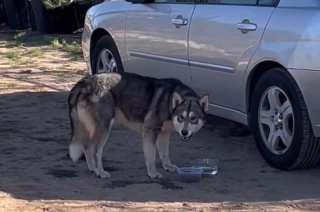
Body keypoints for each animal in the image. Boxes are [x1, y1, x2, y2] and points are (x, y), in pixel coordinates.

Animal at [68, 71, 209, 179]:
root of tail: (86, 82)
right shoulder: (150, 131)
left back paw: (93, 169)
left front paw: (167, 166)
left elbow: (165, 153)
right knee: (94, 150)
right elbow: (151, 156)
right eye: (181, 117)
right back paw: (100, 172)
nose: (184, 132)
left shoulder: (164, 133)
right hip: (103, 129)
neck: (169, 100)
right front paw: (152, 173)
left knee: (86, 147)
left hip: (90, 130)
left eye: (193, 118)